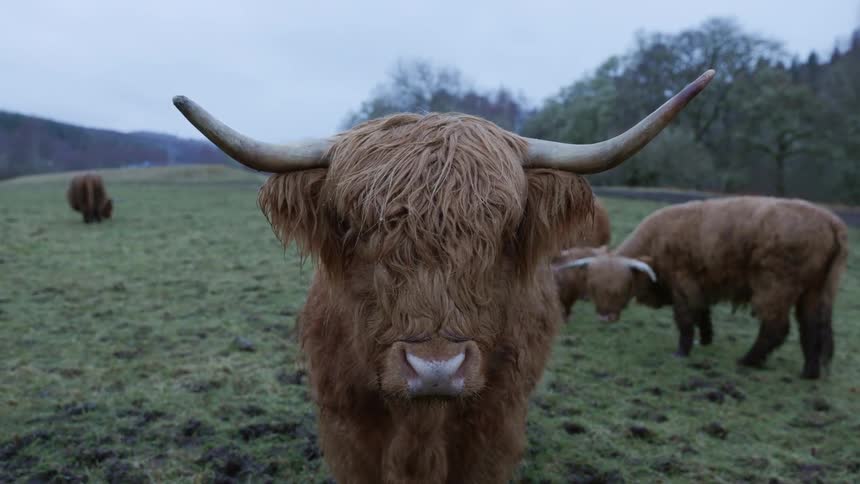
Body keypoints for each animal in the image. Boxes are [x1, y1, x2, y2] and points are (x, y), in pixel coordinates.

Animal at [557, 196, 848, 380]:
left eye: (620, 288)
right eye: (593, 287)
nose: (605, 317)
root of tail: (830, 220)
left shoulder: (682, 280)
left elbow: (686, 318)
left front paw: (682, 351)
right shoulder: (699, 284)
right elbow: (703, 313)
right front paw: (706, 338)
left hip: (775, 285)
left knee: (776, 327)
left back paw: (748, 360)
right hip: (815, 290)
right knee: (812, 328)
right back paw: (809, 372)